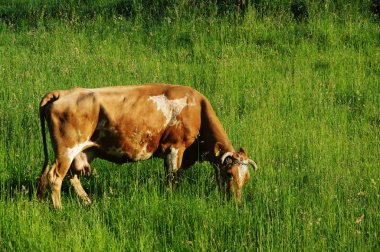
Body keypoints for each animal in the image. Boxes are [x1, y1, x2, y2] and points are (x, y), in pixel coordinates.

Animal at [37, 83, 258, 208]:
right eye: (229, 174)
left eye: (246, 177)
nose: (236, 202)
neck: (197, 108)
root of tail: (62, 93)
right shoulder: (175, 148)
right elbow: (173, 178)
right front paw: (171, 199)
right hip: (66, 150)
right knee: (55, 177)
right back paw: (58, 208)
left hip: (82, 152)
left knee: (69, 177)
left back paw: (85, 202)